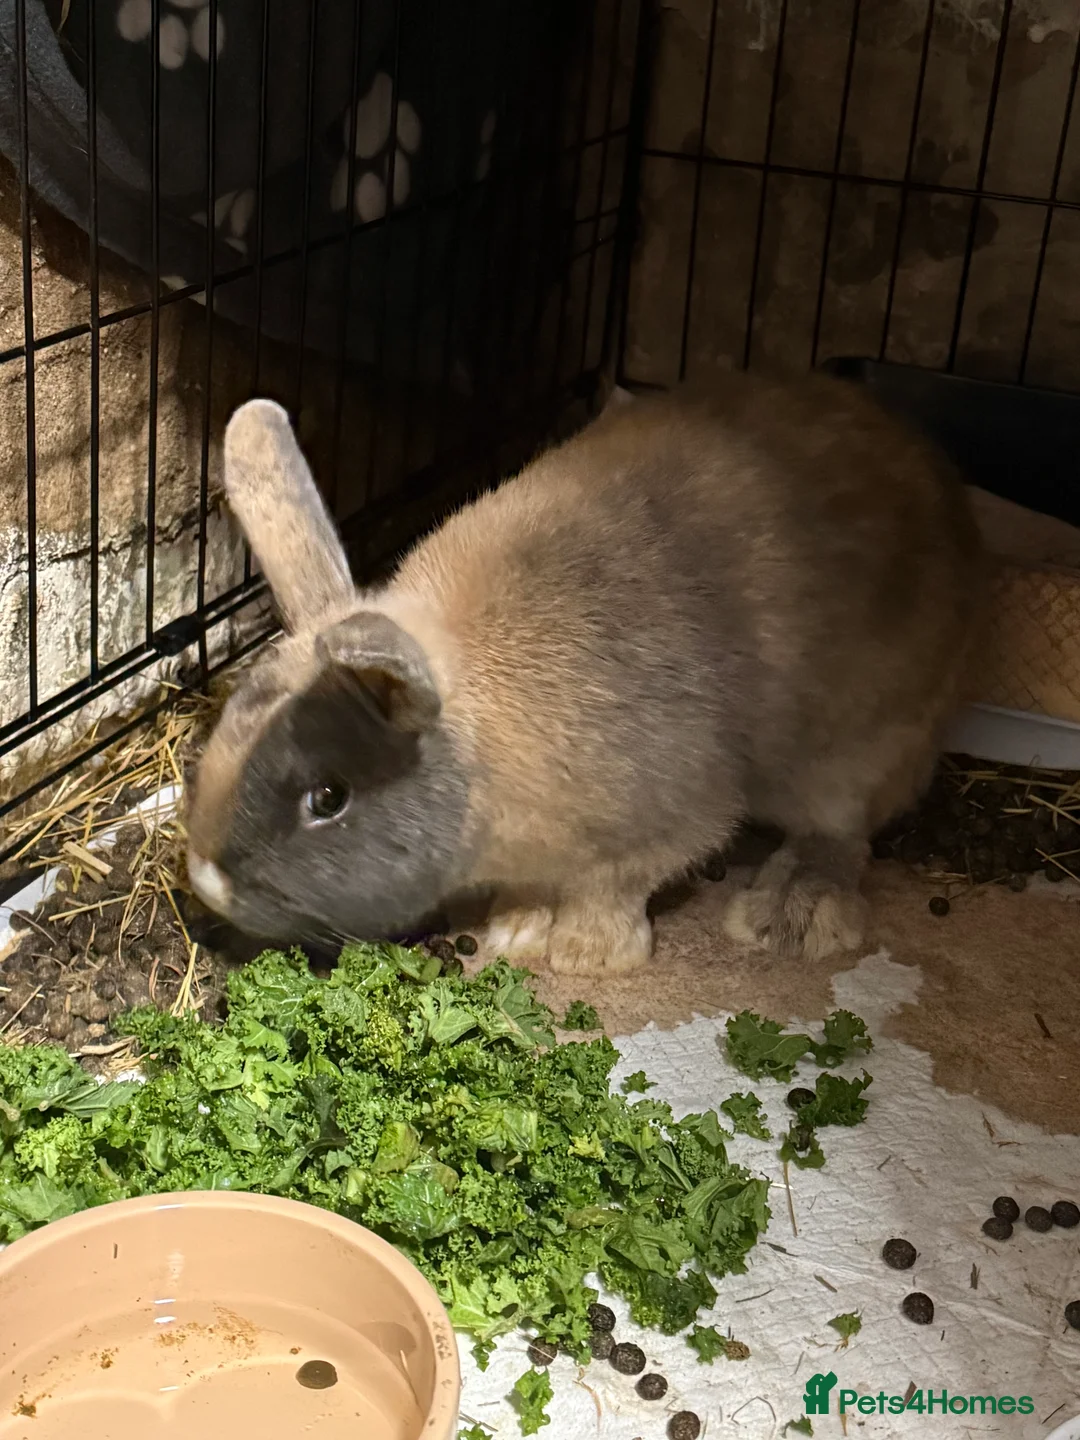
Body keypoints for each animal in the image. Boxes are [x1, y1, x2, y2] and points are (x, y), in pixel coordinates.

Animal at [185, 371, 984, 974]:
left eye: (327, 798)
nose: (206, 881)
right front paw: (516, 931)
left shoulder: (674, 813)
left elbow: (618, 883)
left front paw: (587, 954)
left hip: (856, 751)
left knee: (842, 832)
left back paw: (791, 913)